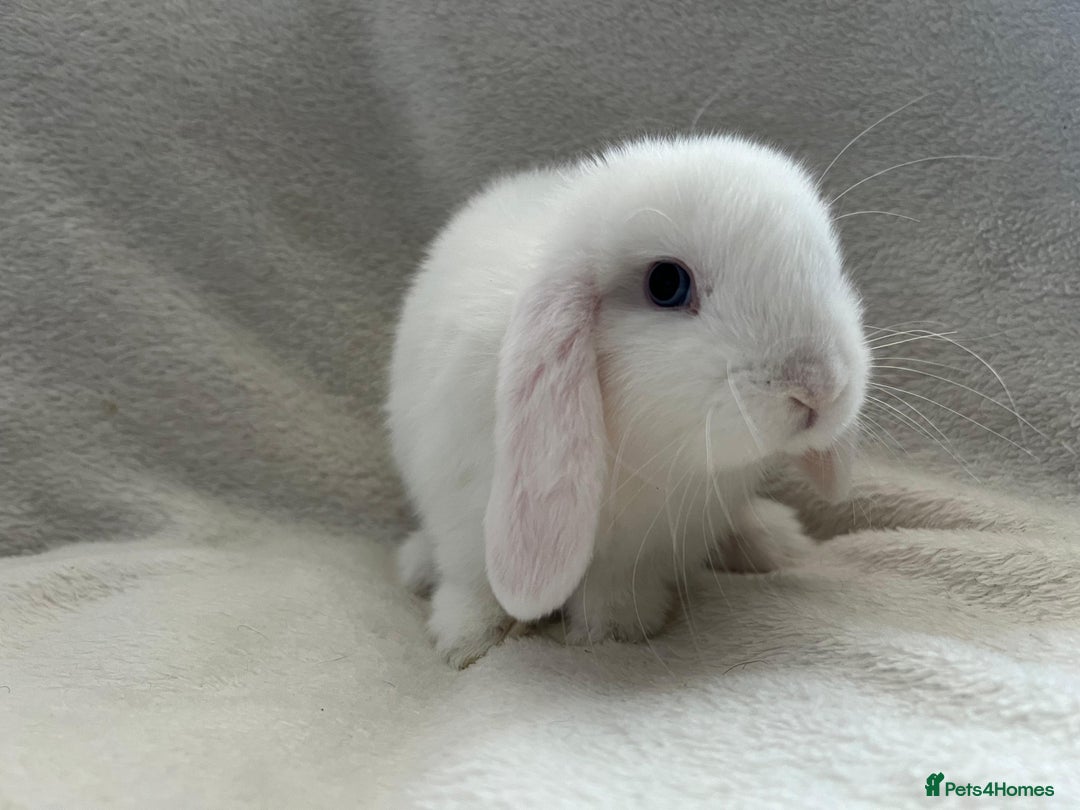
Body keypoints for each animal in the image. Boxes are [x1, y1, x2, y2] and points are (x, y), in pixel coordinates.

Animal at [387, 134, 869, 668]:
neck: (652, 454)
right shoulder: (464, 505)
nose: (818, 388)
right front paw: (468, 641)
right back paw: (416, 565)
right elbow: (476, 585)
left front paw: (617, 628)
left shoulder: (644, 548)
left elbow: (615, 588)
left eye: (828, 268)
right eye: (666, 284)